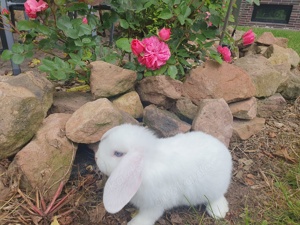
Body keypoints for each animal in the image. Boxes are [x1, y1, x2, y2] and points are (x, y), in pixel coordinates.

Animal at [95, 124, 232, 224]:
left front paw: (135, 223)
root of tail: (226, 155)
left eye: (118, 153)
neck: (145, 165)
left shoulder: (154, 205)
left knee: (217, 197)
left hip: (213, 189)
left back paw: (218, 212)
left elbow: (148, 216)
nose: (96, 157)